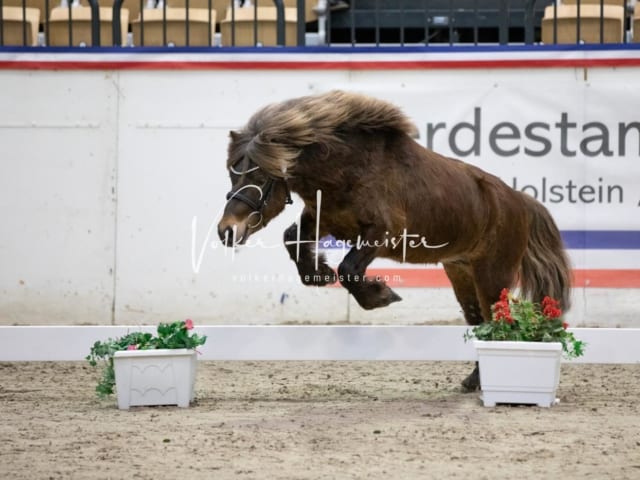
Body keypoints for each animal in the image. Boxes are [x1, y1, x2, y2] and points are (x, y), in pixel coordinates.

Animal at [219, 89, 568, 390]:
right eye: (232, 173)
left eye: (260, 176)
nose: (227, 230)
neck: (349, 170)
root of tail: (520, 200)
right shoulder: (323, 219)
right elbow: (293, 239)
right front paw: (318, 273)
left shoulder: (381, 233)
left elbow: (349, 269)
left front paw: (380, 295)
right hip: (463, 272)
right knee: (480, 321)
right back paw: (474, 380)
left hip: (493, 275)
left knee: (499, 320)